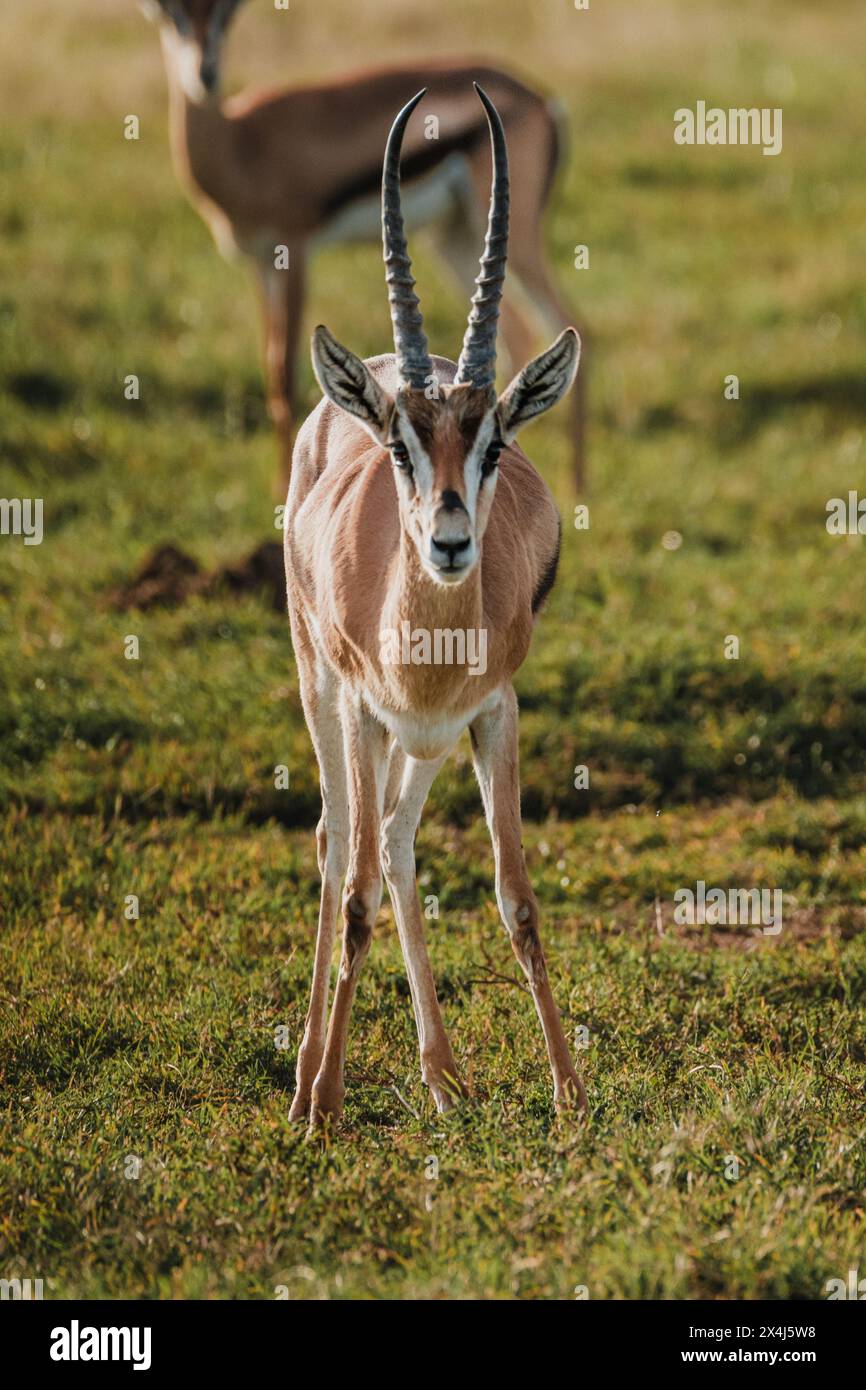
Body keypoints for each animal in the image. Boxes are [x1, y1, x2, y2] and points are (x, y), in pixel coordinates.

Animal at [142, 0, 587, 492]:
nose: (205, 74)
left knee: (570, 322)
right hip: (455, 239)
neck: (242, 142)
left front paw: (279, 490)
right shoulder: (259, 264)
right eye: (173, 17)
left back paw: (576, 486)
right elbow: (270, 366)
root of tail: (540, 98)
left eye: (225, 19)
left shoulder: (294, 252)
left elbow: (286, 371)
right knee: (520, 333)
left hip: (512, 238)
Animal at [284, 85, 586, 1131]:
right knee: (342, 844)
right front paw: (324, 1107)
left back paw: (443, 1074)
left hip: (426, 743)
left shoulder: (492, 713)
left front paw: (570, 1096)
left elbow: (516, 895)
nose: (451, 542)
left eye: (494, 442)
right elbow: (357, 897)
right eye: (401, 445)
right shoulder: (365, 710)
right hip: (326, 698)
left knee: (399, 843)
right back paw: (308, 1081)